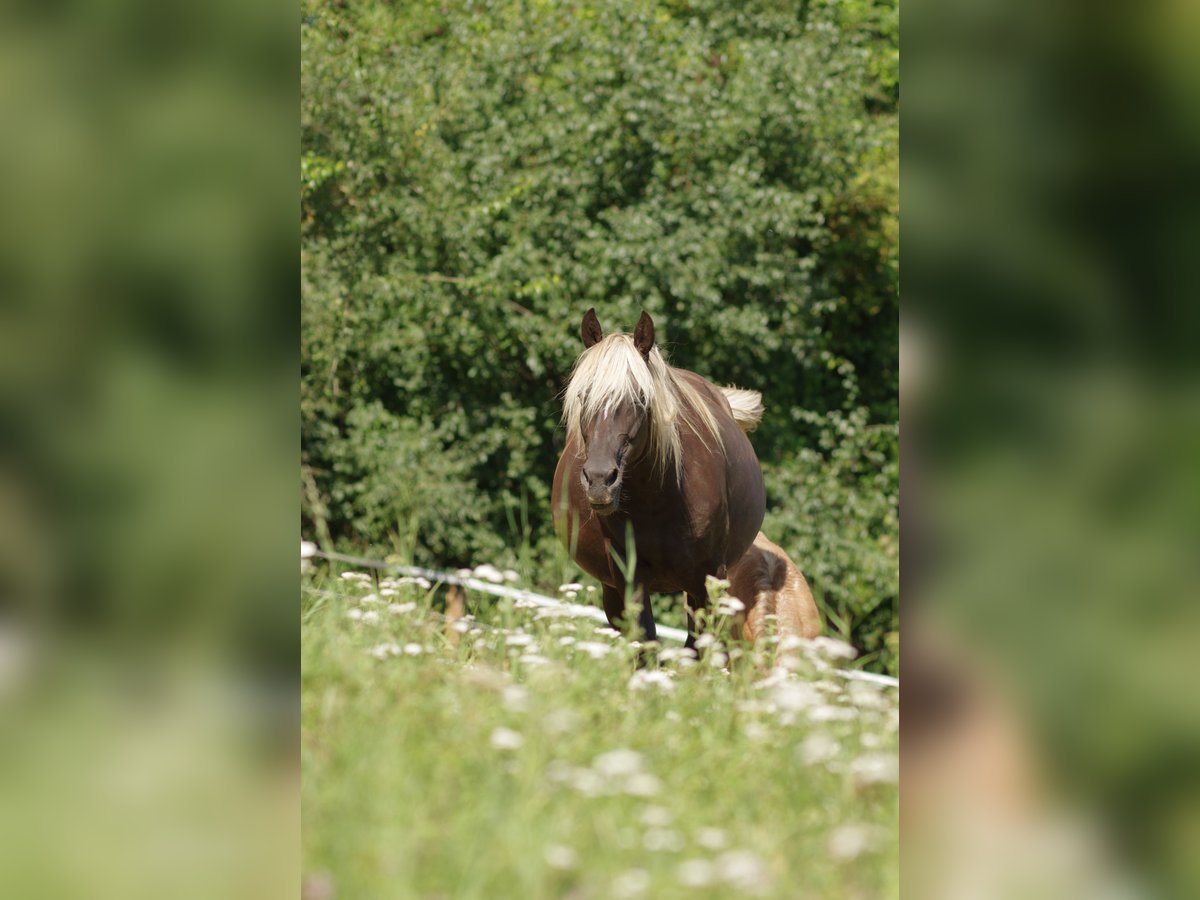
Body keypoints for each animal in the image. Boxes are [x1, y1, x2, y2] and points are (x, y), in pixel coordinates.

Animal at [549, 309, 763, 648]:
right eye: (584, 395)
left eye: (640, 398)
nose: (599, 480)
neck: (660, 503)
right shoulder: (629, 581)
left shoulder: (710, 579)